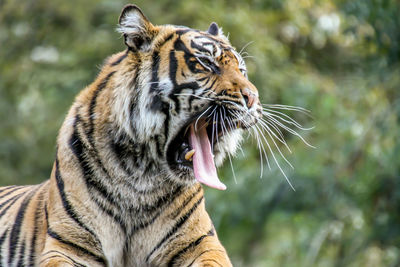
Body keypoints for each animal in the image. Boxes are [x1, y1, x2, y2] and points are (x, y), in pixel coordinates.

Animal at [0, 4, 260, 267]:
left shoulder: (200, 242)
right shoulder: (69, 245)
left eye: (242, 70)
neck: (141, 175)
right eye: (206, 63)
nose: (252, 98)